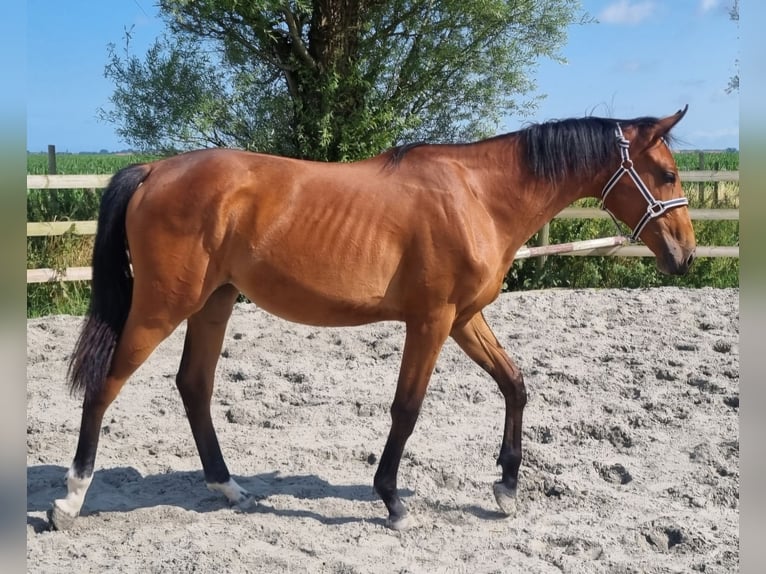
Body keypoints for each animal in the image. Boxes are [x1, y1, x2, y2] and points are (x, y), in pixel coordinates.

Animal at [49, 107, 696, 532]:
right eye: (666, 174)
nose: (685, 254)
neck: (479, 196)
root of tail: (155, 170)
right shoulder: (431, 321)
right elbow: (406, 409)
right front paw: (392, 500)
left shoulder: (465, 318)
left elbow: (514, 384)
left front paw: (507, 487)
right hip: (163, 305)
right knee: (105, 385)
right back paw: (70, 500)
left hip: (215, 302)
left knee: (194, 385)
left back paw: (228, 487)